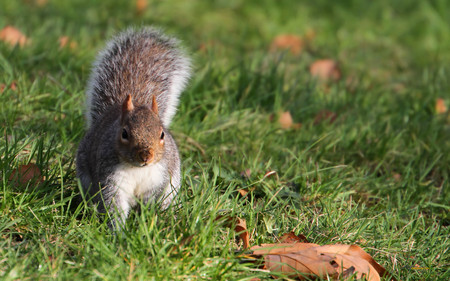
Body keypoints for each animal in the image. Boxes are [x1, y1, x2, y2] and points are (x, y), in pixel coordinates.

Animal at [75, 26, 190, 230]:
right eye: (124, 133)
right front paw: (117, 231)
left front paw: (148, 221)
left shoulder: (160, 176)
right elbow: (114, 205)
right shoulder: (111, 179)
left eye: (162, 134)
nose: (146, 156)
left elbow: (153, 200)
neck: (138, 169)